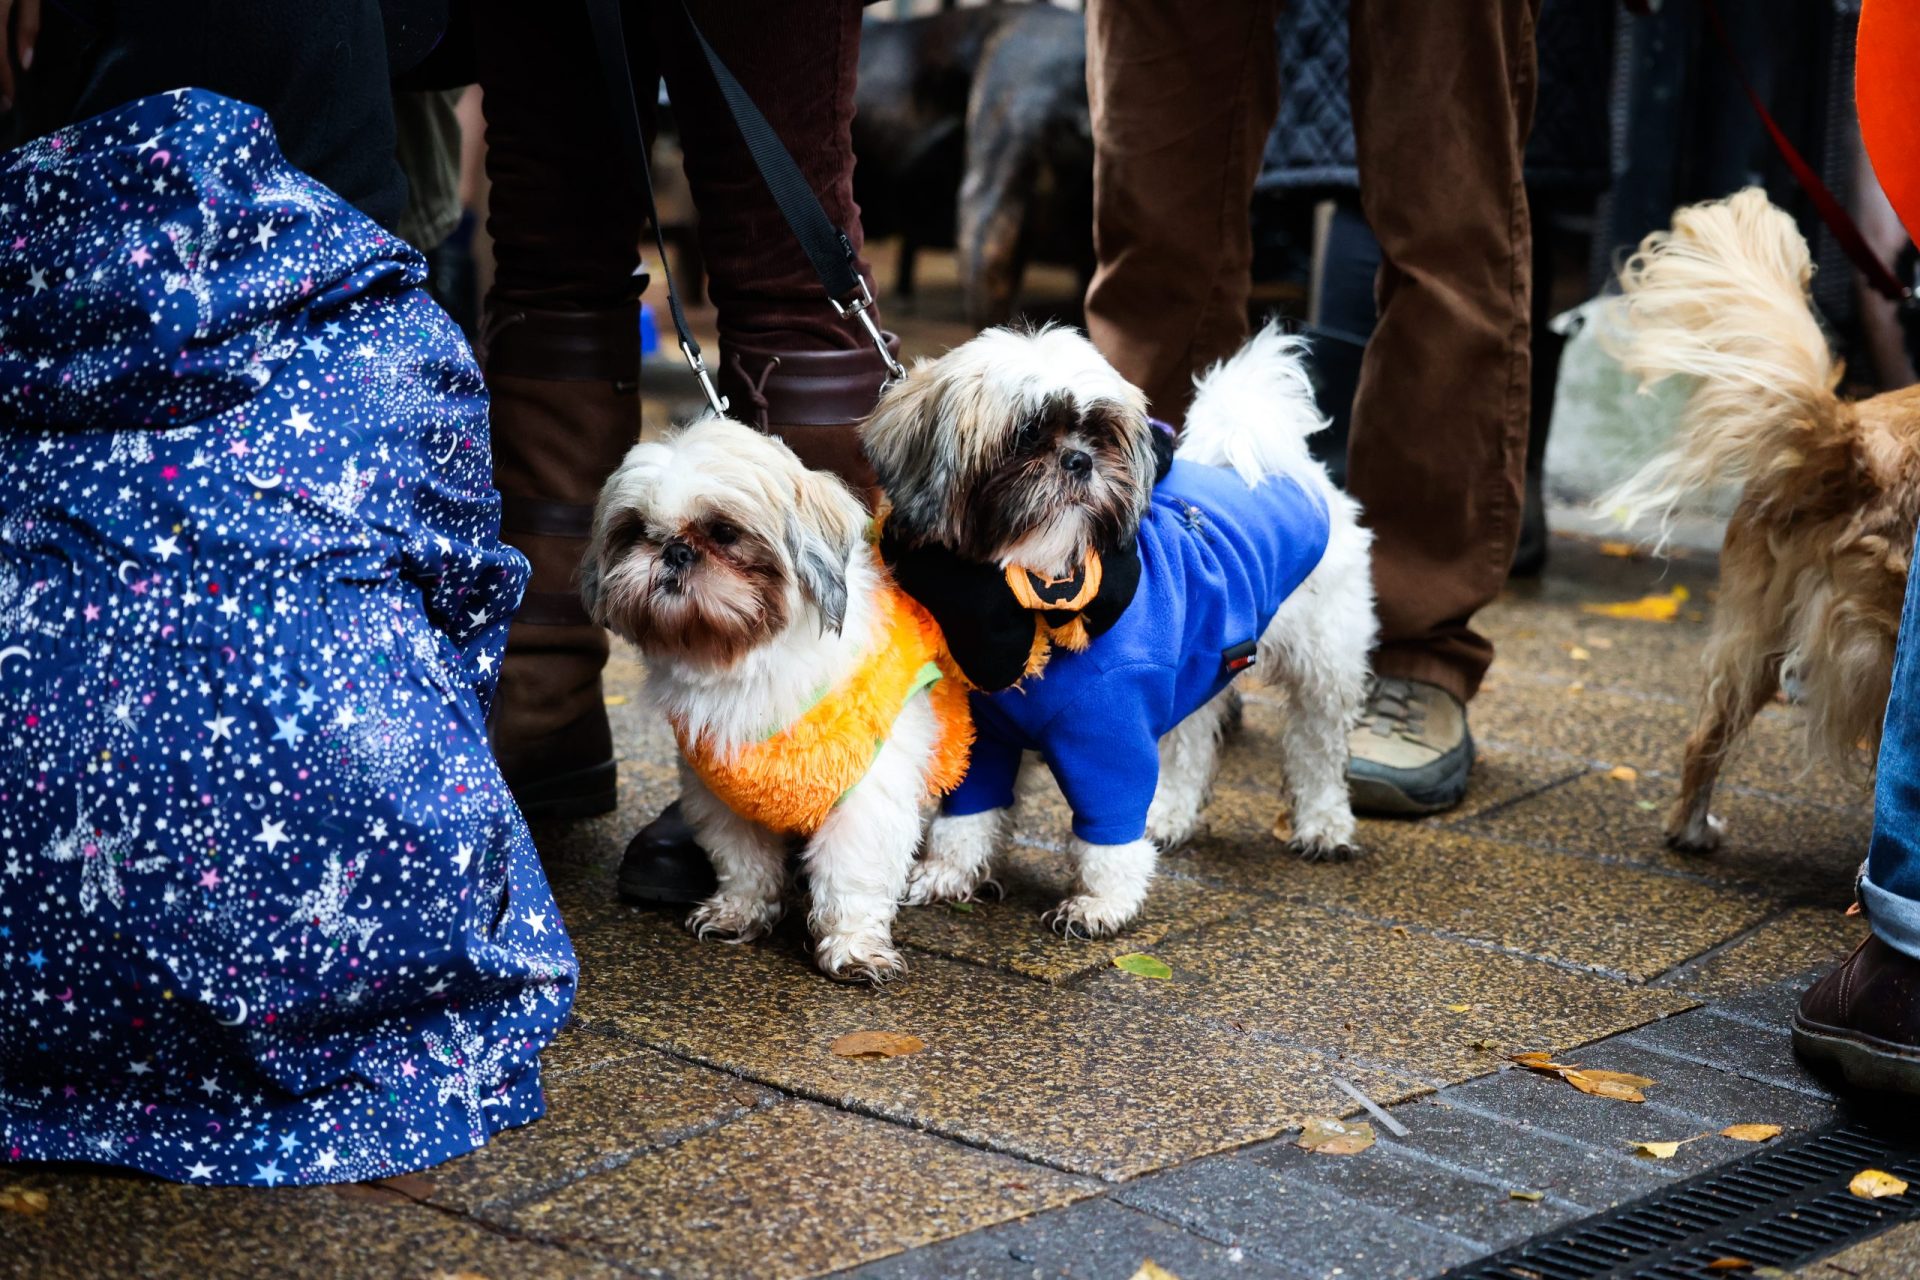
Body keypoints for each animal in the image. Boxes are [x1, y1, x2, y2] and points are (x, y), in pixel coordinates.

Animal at [582, 419, 973, 983]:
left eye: (724, 533)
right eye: (635, 531)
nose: (674, 550)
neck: (745, 663)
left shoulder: (866, 794)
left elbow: (852, 875)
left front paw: (852, 948)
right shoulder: (722, 793)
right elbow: (743, 859)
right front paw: (738, 911)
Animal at [865, 324, 1376, 937]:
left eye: (1099, 434)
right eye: (1027, 434)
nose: (1079, 460)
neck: (1029, 598)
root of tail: (1286, 466)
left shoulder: (1110, 736)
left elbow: (1108, 830)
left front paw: (1101, 903)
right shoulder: (985, 732)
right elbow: (970, 811)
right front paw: (950, 872)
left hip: (1325, 666)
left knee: (1318, 748)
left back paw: (1323, 824)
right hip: (1200, 664)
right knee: (1190, 744)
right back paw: (1171, 813)